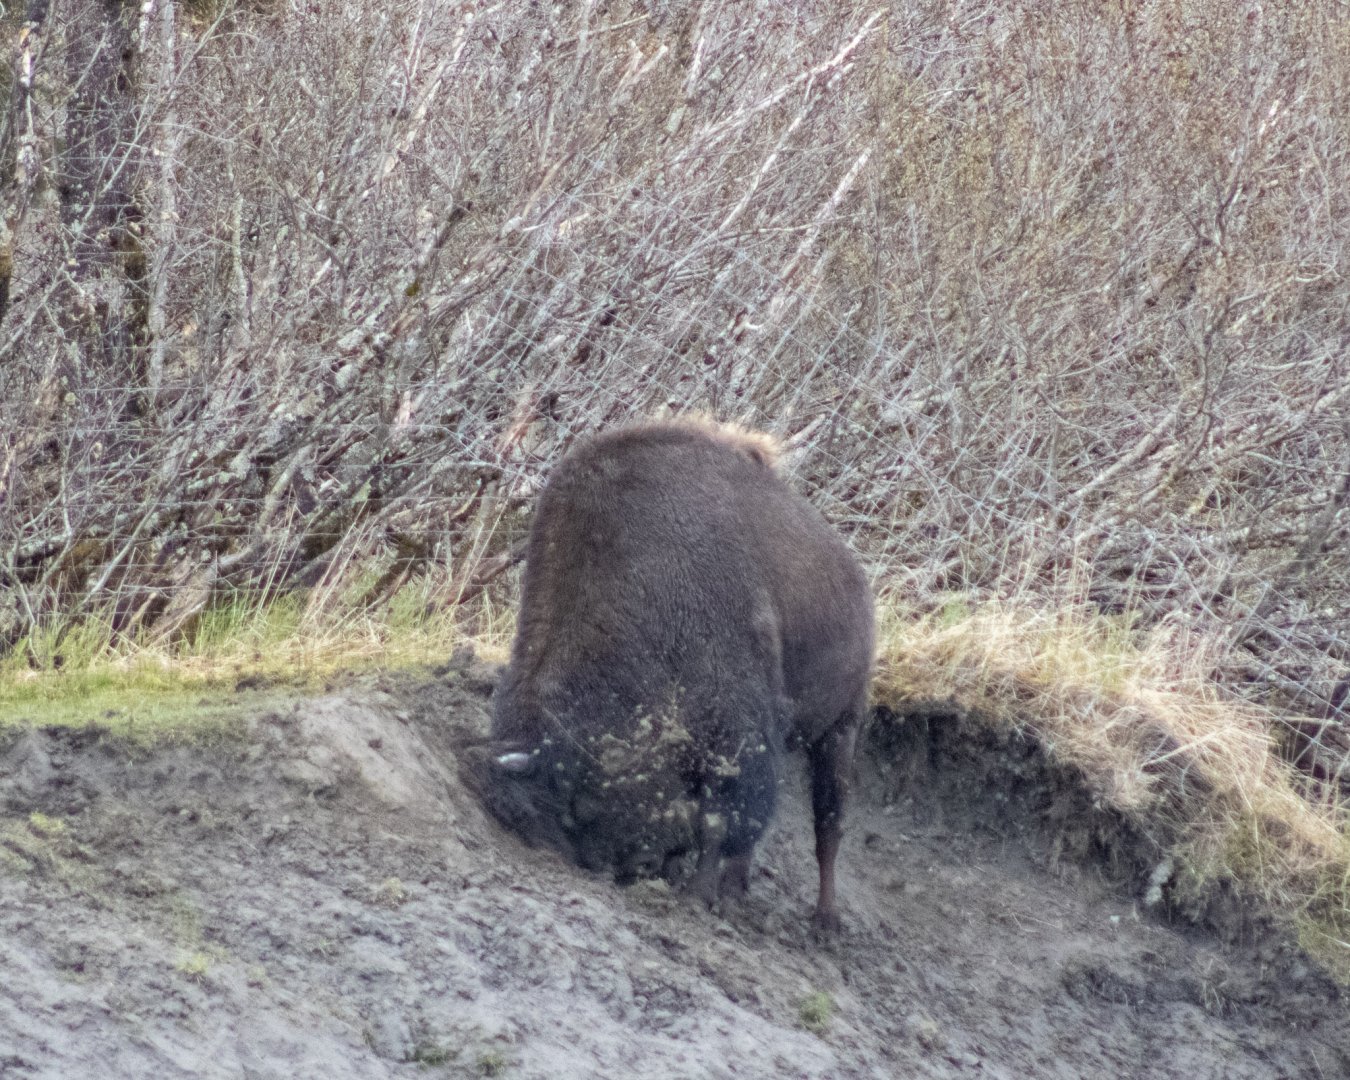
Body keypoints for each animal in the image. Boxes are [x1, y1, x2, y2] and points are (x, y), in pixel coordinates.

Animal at [462, 419, 874, 929]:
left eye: (576, 805)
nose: (623, 866)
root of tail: (852, 574)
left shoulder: (736, 736)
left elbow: (718, 820)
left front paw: (696, 896)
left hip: (841, 728)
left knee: (828, 825)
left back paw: (824, 922)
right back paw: (736, 893)